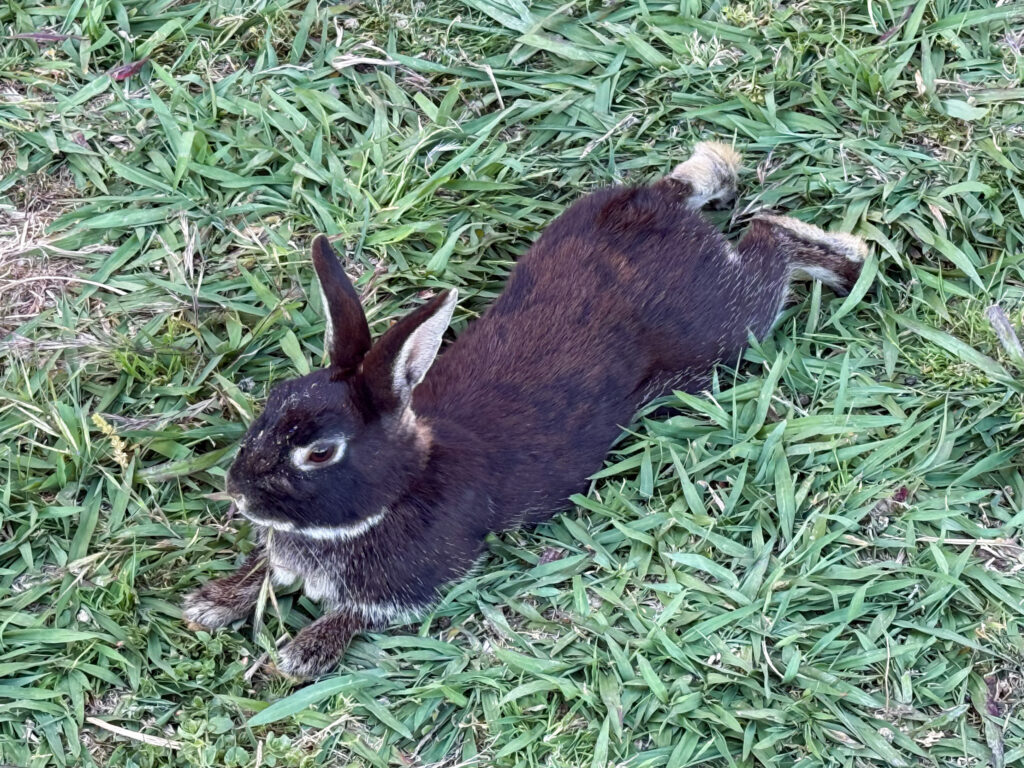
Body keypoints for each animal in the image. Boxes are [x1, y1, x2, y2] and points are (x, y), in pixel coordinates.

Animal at [183, 141, 868, 679]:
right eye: (272, 402)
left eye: (320, 452)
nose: (237, 493)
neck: (396, 491)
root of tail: (660, 205)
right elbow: (267, 568)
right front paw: (212, 603)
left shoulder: (420, 580)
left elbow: (357, 614)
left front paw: (301, 654)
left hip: (724, 327)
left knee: (768, 241)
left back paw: (851, 261)